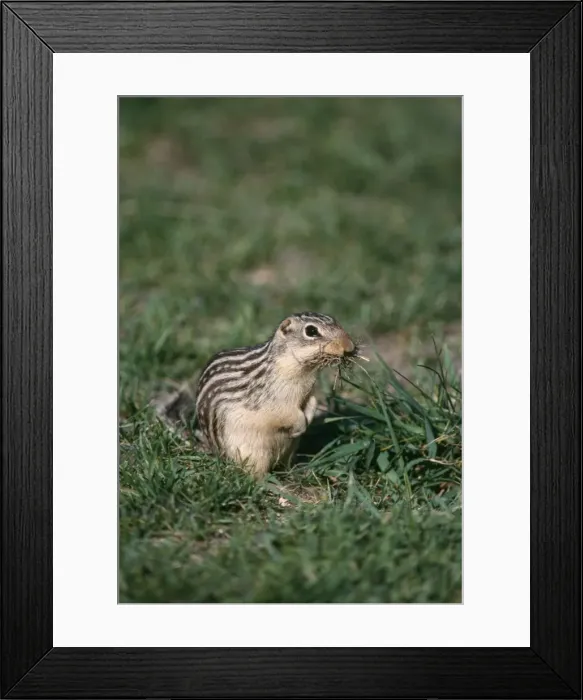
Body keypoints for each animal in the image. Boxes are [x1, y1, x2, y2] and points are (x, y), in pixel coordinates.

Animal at [153, 312, 359, 477]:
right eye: (311, 331)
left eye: (336, 321)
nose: (350, 347)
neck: (303, 372)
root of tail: (216, 452)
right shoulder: (273, 400)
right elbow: (286, 413)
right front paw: (300, 425)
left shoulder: (308, 393)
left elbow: (312, 402)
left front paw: (308, 418)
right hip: (252, 452)